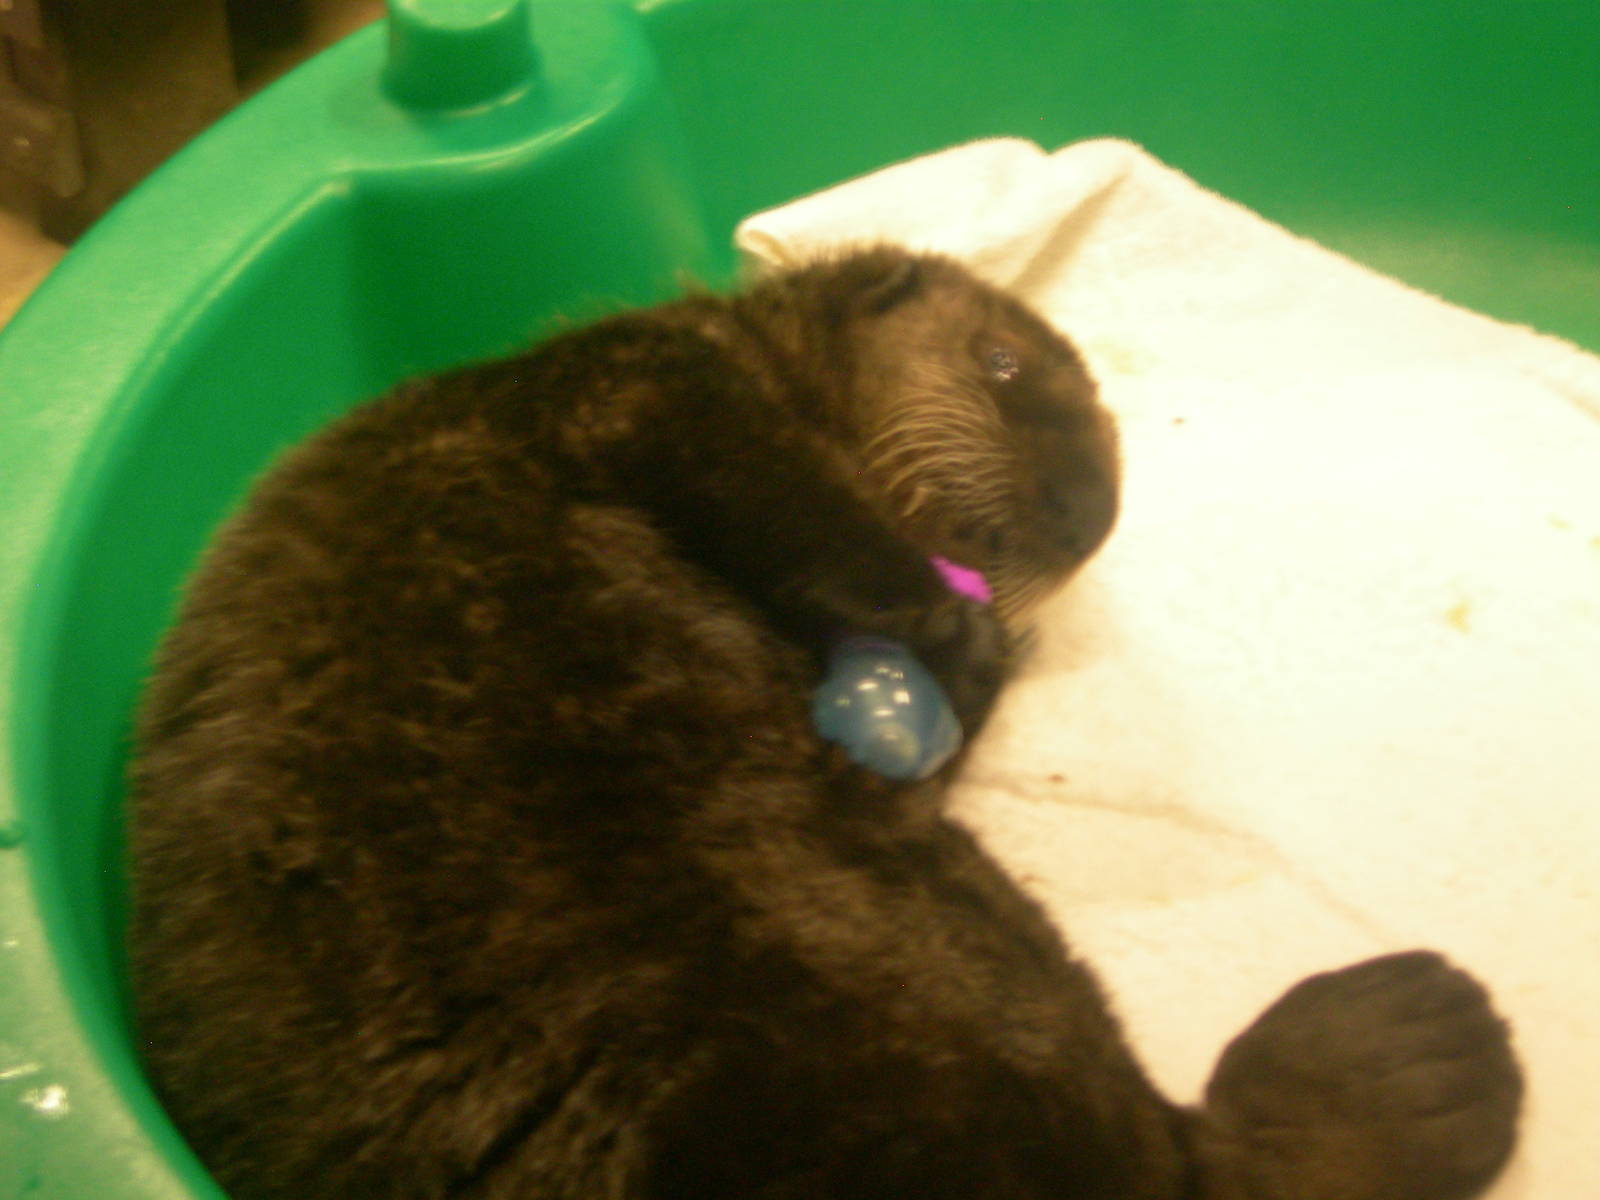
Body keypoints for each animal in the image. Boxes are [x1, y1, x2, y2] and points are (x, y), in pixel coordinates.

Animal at [127, 247, 1521, 1200]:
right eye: (1003, 370)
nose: (1087, 510)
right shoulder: (656, 386)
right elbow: (770, 488)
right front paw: (942, 621)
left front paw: (965, 650)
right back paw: (1432, 1044)